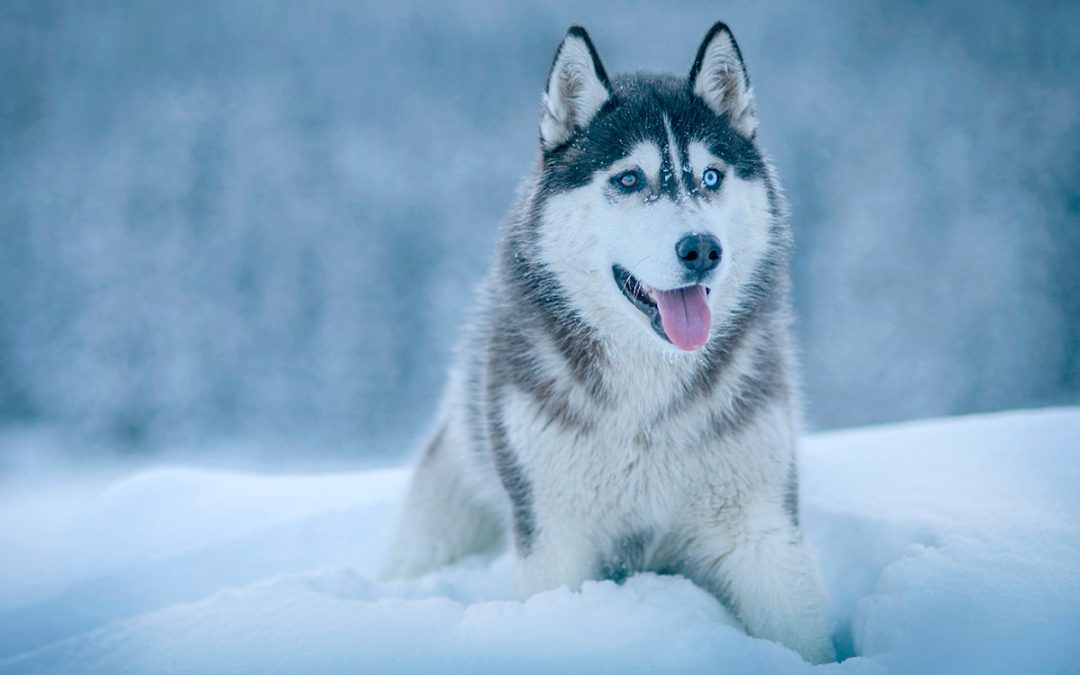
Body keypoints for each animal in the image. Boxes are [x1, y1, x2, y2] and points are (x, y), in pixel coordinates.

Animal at [386, 22, 833, 665]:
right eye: (628, 179)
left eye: (711, 176)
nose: (702, 248)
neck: (648, 399)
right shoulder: (555, 537)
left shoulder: (761, 528)